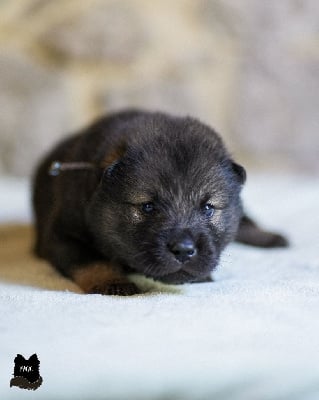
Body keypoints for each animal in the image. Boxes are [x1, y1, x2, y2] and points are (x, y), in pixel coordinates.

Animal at [31, 109, 288, 294]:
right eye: (147, 206)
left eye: (208, 208)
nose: (184, 250)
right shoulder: (62, 234)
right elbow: (91, 260)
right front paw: (113, 282)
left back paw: (271, 237)